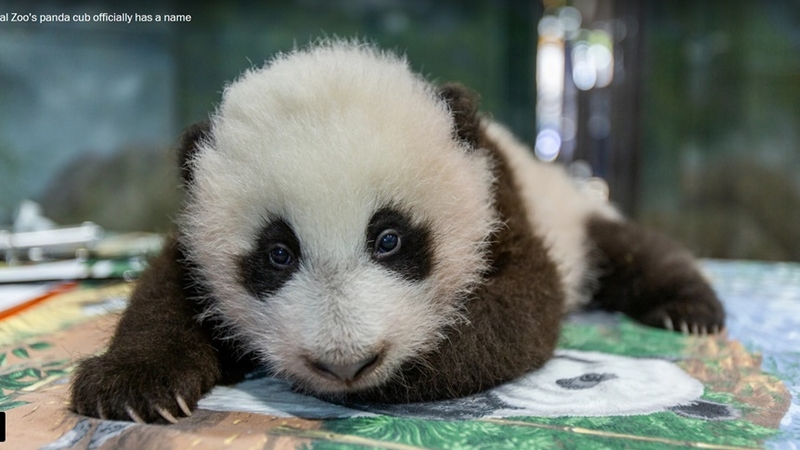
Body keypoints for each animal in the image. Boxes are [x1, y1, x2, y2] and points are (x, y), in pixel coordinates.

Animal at [70, 40, 725, 424]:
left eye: (389, 239)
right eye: (278, 253)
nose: (347, 363)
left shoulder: (500, 199)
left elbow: (523, 305)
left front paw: (410, 368)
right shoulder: (191, 231)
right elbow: (166, 290)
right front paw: (133, 385)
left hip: (569, 210)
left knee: (632, 249)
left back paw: (690, 309)